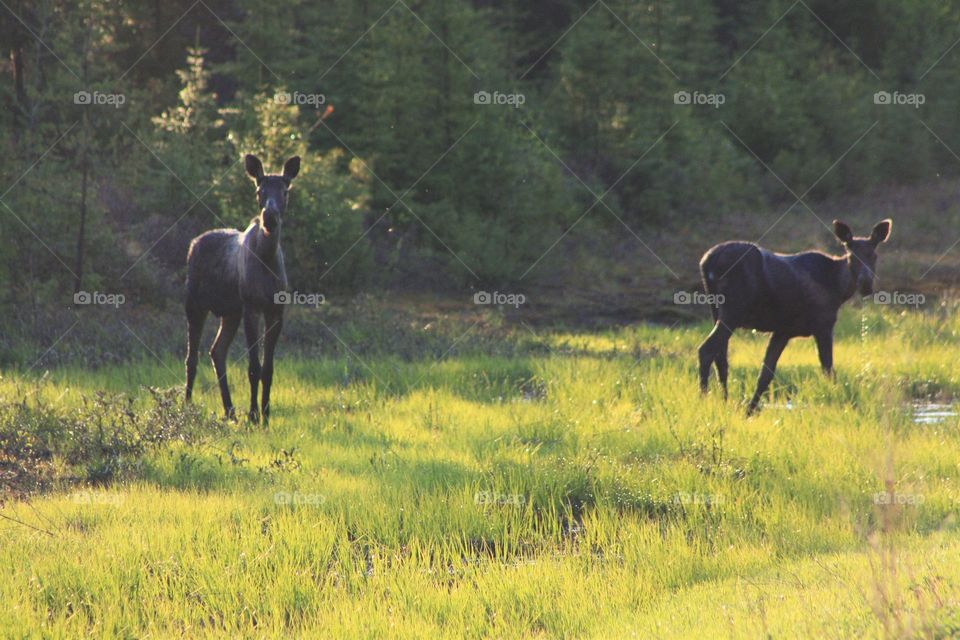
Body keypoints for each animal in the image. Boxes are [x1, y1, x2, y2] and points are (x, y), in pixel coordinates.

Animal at [184, 154, 300, 425]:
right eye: (259, 190)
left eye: (285, 190)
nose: (269, 217)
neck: (267, 260)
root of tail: (193, 243)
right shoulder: (251, 307)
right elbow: (253, 367)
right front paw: (254, 415)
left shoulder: (275, 311)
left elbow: (268, 369)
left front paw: (266, 415)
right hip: (195, 305)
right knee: (191, 357)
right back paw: (187, 406)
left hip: (230, 312)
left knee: (216, 351)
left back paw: (229, 410)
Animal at [697, 219, 892, 414]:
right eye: (852, 256)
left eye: (874, 255)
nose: (866, 284)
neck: (838, 289)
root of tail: (707, 263)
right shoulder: (823, 325)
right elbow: (828, 370)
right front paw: (840, 404)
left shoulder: (783, 330)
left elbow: (765, 374)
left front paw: (749, 411)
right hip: (734, 310)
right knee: (706, 349)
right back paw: (704, 400)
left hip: (716, 310)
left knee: (721, 357)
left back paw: (723, 401)